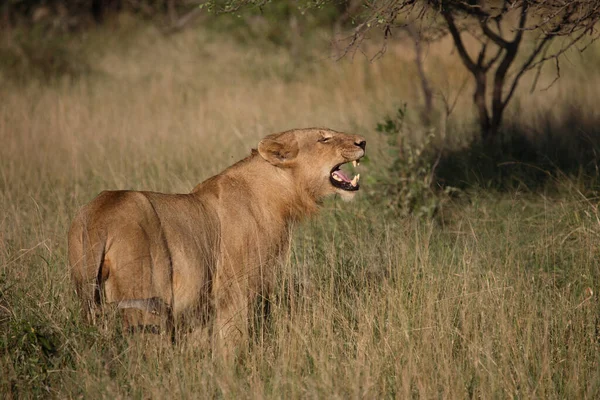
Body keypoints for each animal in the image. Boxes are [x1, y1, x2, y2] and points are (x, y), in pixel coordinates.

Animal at [67, 126, 366, 352]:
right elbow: (232, 339)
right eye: (324, 138)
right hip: (147, 301)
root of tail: (99, 217)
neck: (283, 192)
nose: (362, 141)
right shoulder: (235, 290)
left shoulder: (202, 304)